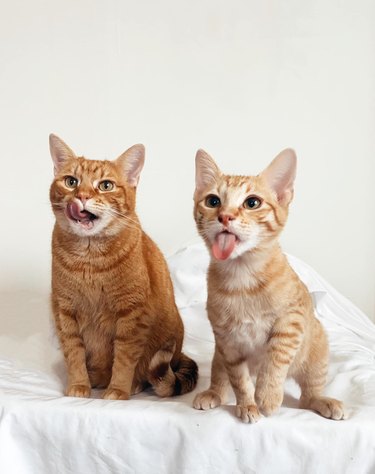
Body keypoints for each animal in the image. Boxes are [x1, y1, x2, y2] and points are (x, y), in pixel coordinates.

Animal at [48, 134, 198, 400]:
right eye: (71, 181)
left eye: (105, 185)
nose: (82, 196)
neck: (90, 260)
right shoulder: (65, 311)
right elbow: (74, 354)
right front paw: (78, 386)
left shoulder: (131, 314)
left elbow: (124, 360)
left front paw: (118, 390)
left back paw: (132, 384)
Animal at [192, 148, 346, 422]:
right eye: (212, 201)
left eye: (252, 203)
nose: (225, 216)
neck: (242, 279)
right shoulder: (227, 342)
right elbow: (239, 380)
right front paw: (247, 405)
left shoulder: (292, 319)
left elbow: (276, 356)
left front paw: (269, 395)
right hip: (218, 355)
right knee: (221, 378)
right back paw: (213, 393)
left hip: (317, 351)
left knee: (308, 396)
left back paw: (323, 401)